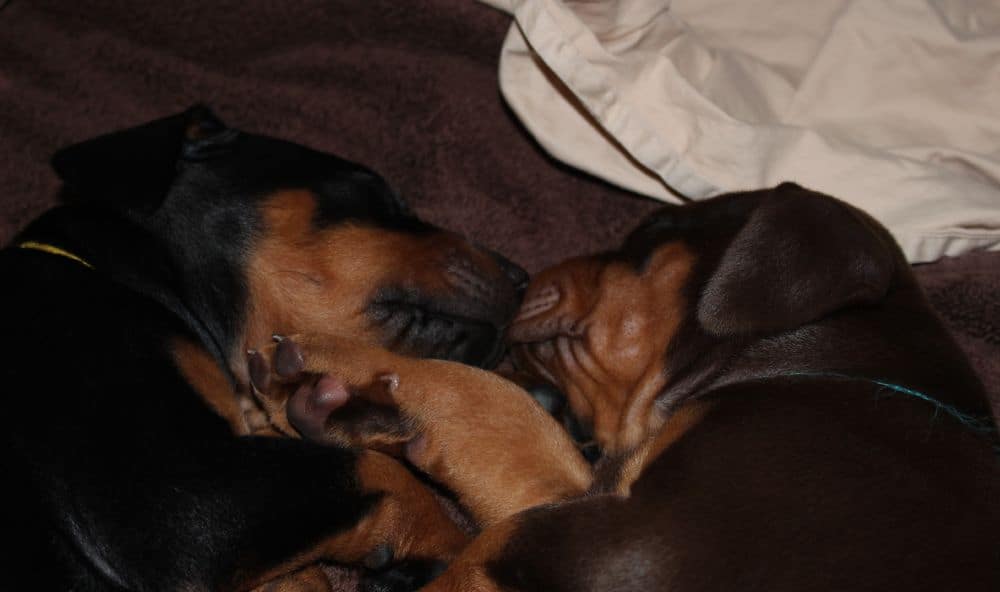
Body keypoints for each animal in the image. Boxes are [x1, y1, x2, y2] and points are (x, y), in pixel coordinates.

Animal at [0, 106, 528, 592]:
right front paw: (466, 558)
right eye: (377, 192)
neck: (122, 279)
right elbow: (380, 472)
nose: (523, 278)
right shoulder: (168, 496)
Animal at [252, 184, 1000, 588]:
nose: (524, 274)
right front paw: (358, 390)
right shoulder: (603, 503)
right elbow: (510, 423)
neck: (817, 367)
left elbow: (491, 524)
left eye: (652, 229)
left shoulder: (627, 547)